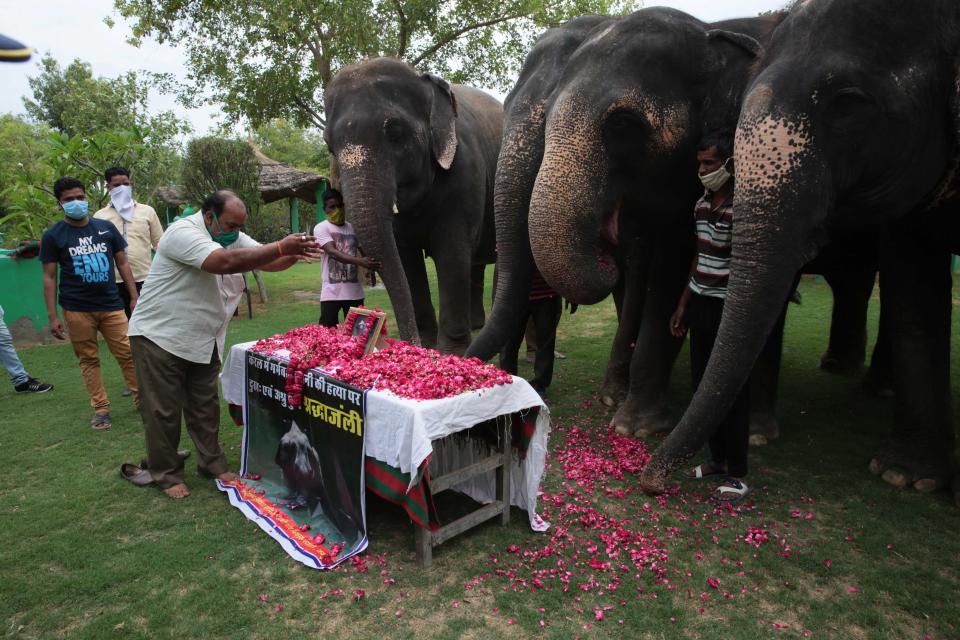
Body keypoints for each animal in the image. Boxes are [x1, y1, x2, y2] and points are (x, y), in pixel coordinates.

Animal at [322, 57, 502, 352]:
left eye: (395, 132)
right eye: (329, 146)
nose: (409, 344)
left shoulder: (466, 172)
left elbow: (452, 252)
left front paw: (451, 352)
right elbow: (407, 258)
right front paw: (426, 346)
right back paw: (477, 326)